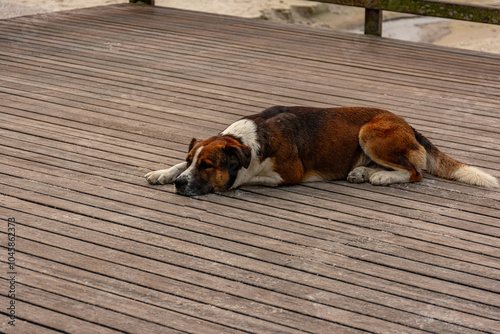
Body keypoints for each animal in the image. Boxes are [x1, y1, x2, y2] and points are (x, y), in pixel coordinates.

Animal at [144, 106, 496, 196]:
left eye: (207, 166)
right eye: (193, 161)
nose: (180, 186)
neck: (249, 140)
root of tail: (408, 124)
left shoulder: (289, 173)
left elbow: (247, 175)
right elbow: (175, 164)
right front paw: (165, 172)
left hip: (369, 131)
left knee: (414, 171)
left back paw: (380, 177)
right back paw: (363, 170)